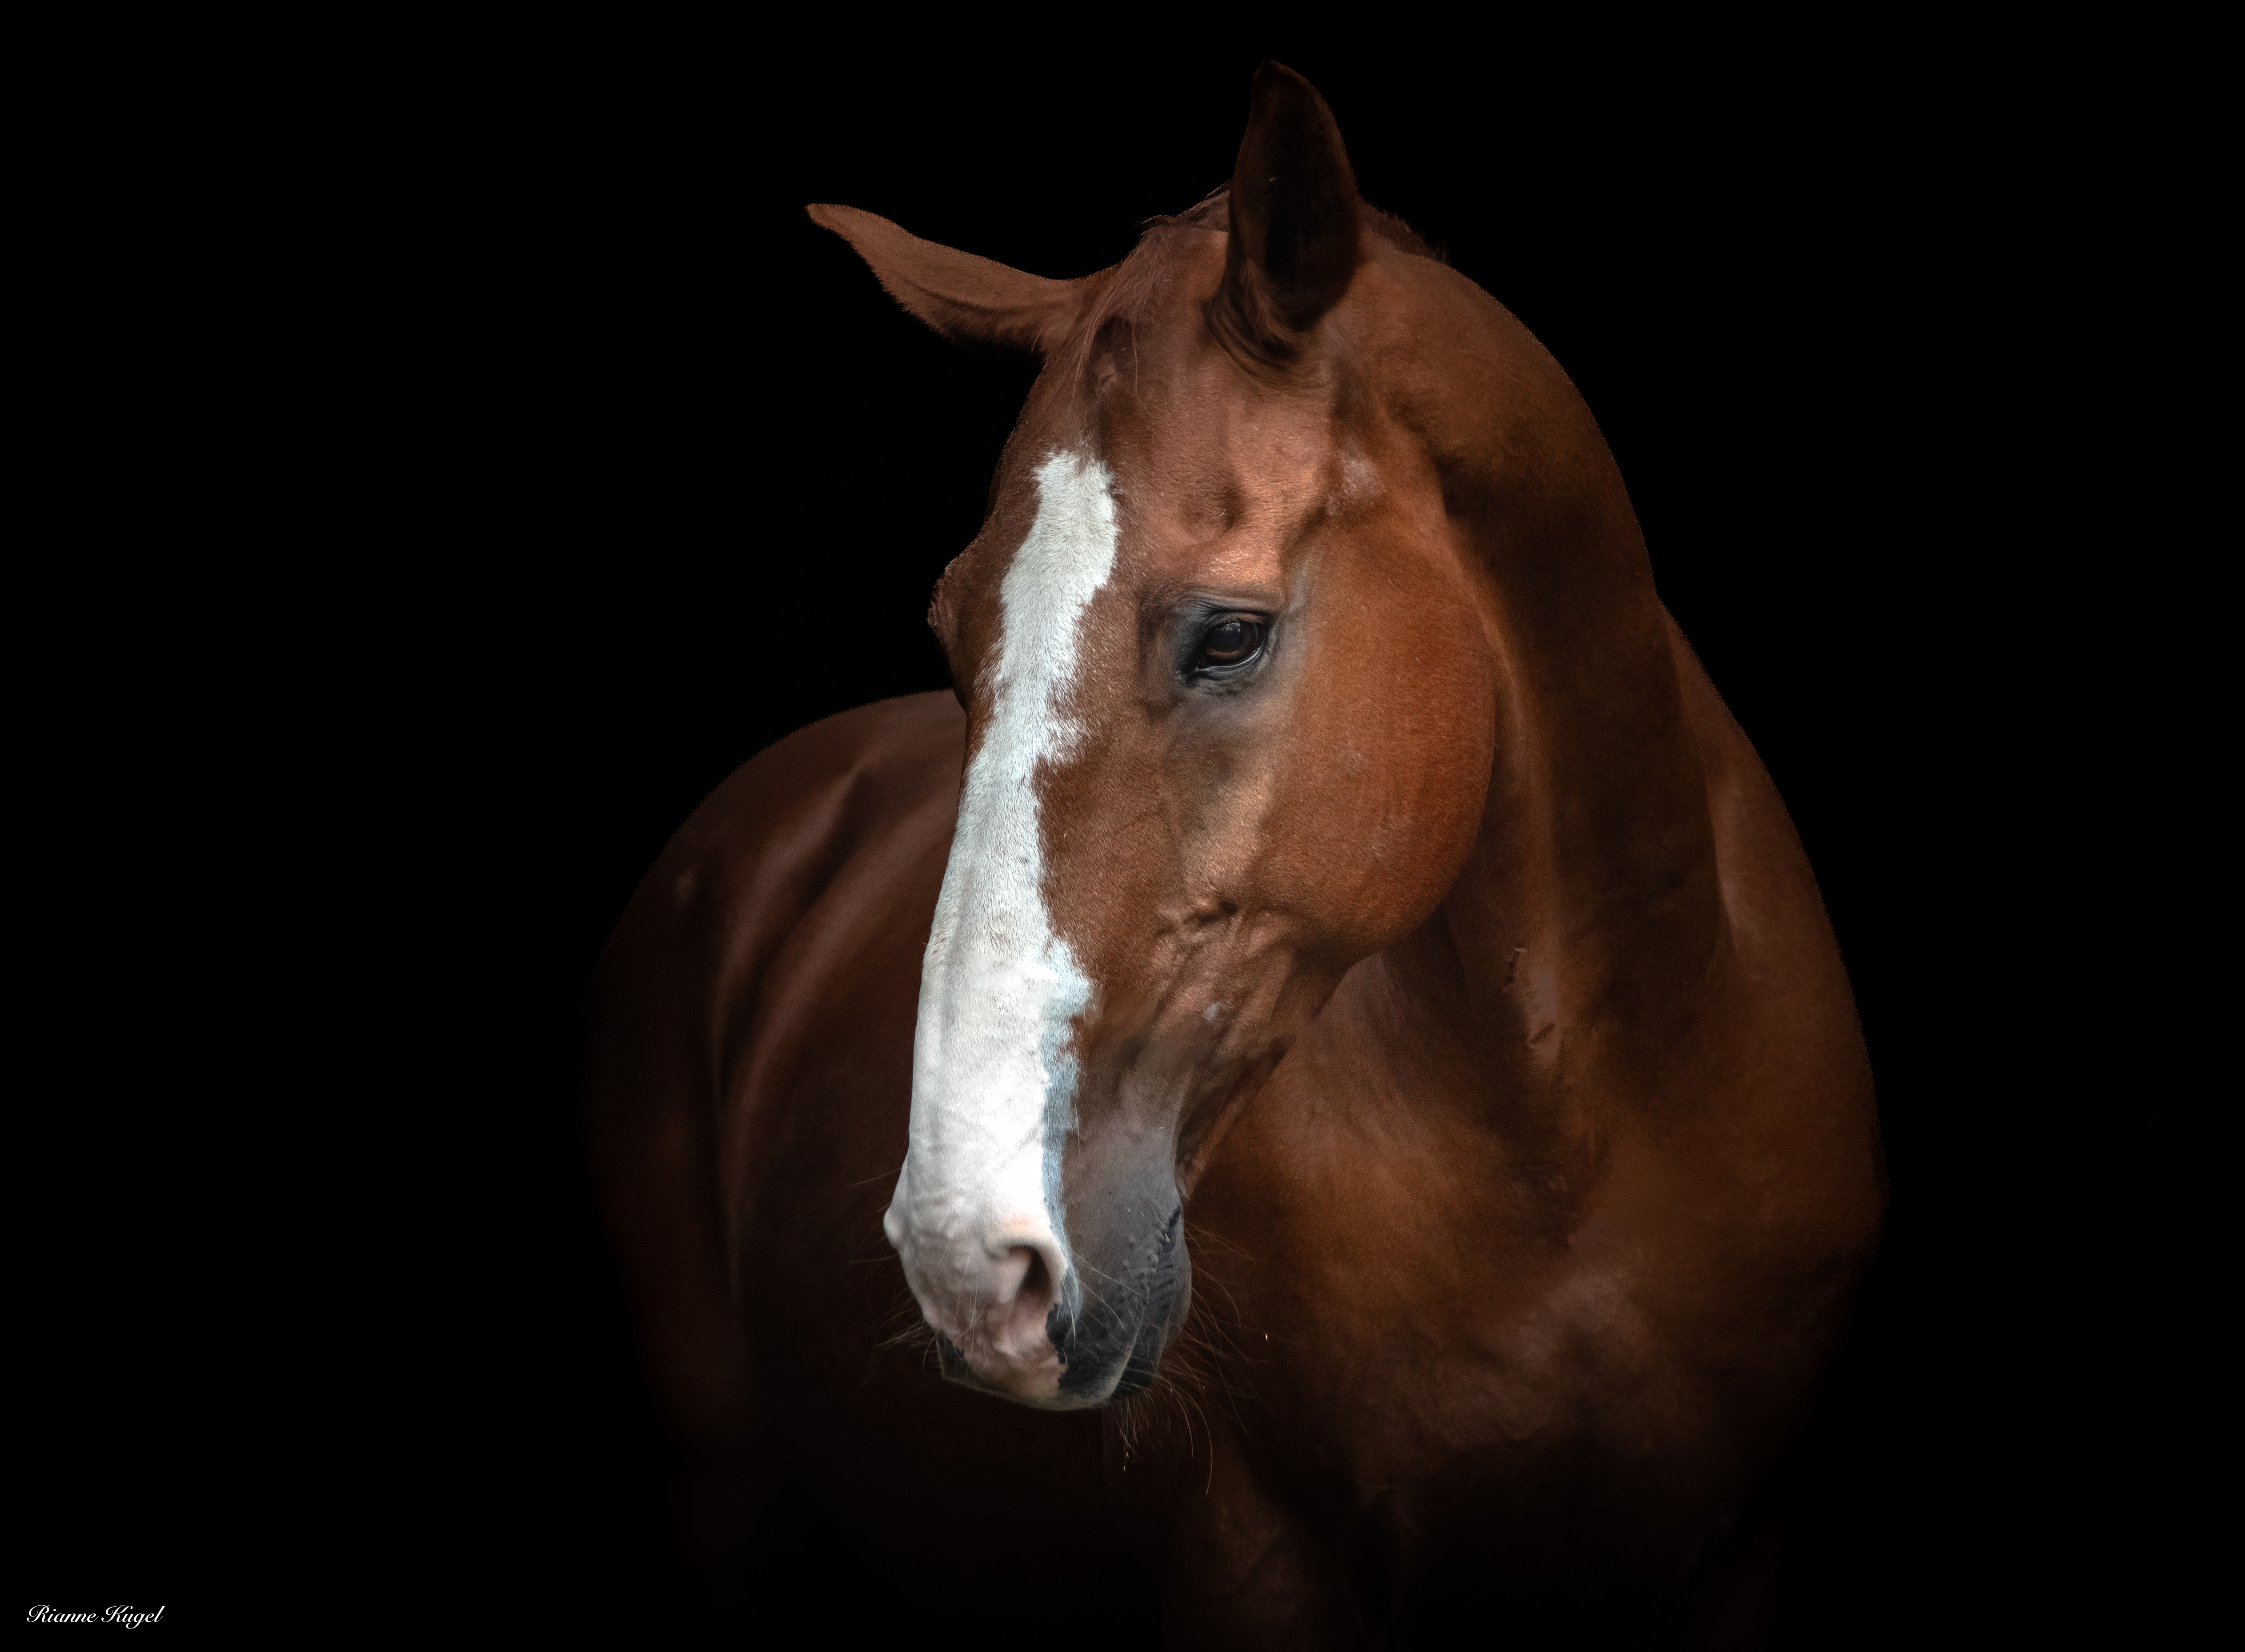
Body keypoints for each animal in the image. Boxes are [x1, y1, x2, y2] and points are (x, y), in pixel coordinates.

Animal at [586, 63, 1884, 1648]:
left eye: (1229, 635)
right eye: (952, 630)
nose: (971, 1257)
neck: (1578, 1144)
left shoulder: (1735, 1555)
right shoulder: (1249, 1563)